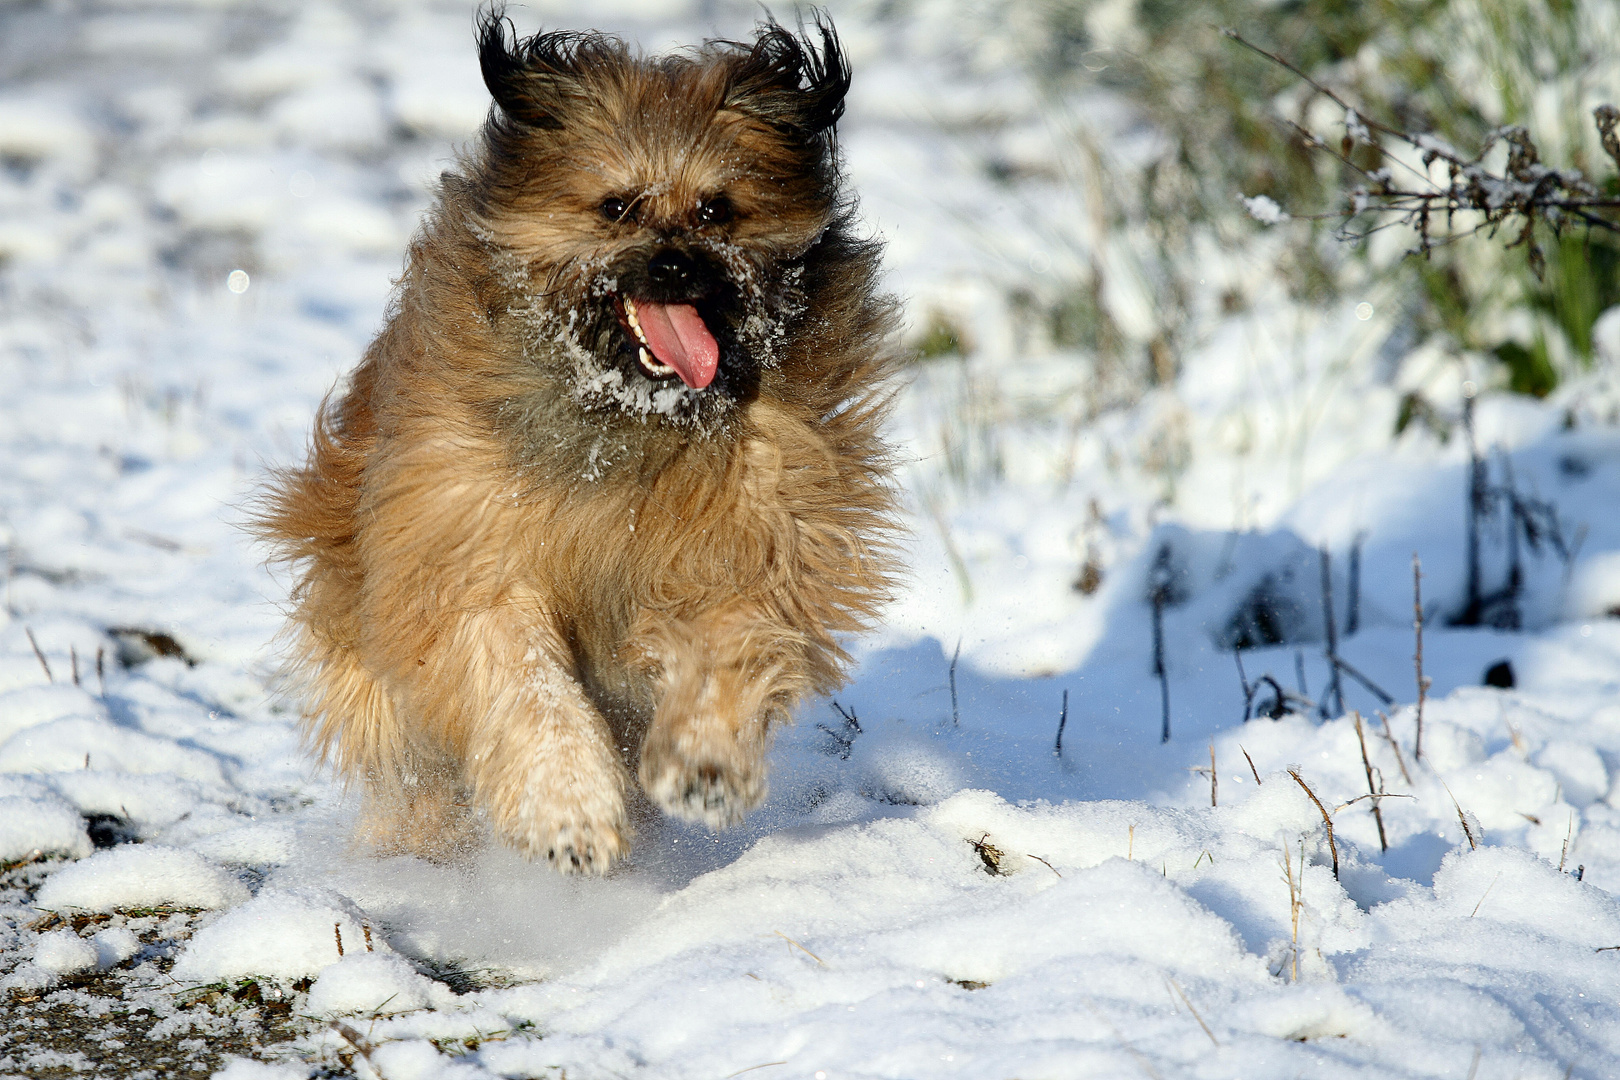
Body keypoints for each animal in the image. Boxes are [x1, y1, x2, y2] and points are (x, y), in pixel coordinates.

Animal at [259, 4, 907, 874]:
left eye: (716, 209)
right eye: (616, 207)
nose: (674, 268)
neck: (634, 416)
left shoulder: (764, 531)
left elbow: (729, 637)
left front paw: (704, 766)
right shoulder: (464, 545)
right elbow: (525, 677)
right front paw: (568, 810)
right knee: (414, 771)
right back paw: (421, 851)